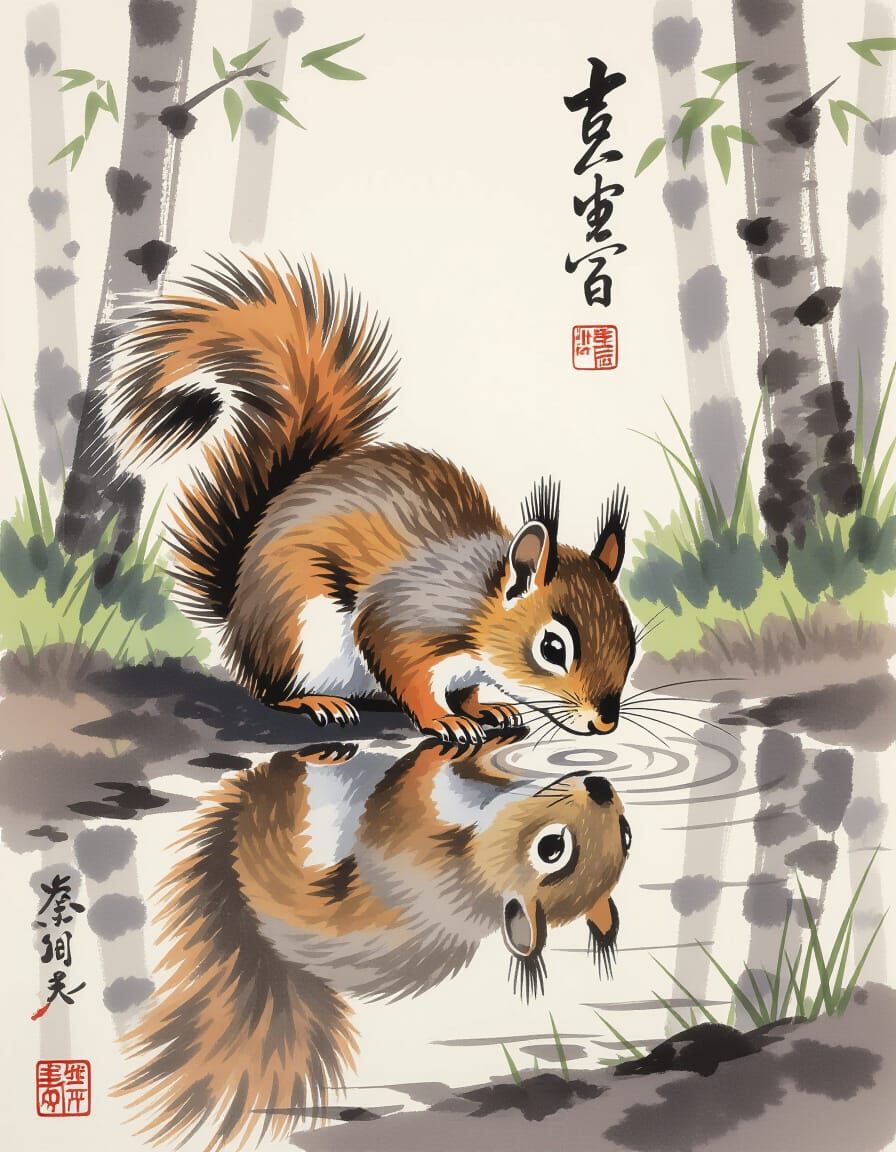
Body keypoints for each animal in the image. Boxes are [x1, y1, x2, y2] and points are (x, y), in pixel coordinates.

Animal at [109, 256, 636, 743]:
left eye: (630, 636)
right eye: (553, 648)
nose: (605, 723)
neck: (476, 604)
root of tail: (239, 615)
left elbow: (464, 689)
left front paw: (485, 707)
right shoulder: (404, 620)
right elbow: (406, 672)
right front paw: (443, 719)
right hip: (294, 632)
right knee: (271, 691)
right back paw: (313, 700)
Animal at [114, 734, 631, 1150]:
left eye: (553, 849)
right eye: (628, 835)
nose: (600, 786)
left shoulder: (414, 843)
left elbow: (408, 790)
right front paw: (495, 727)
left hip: (282, 820)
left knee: (286, 782)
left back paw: (305, 758)